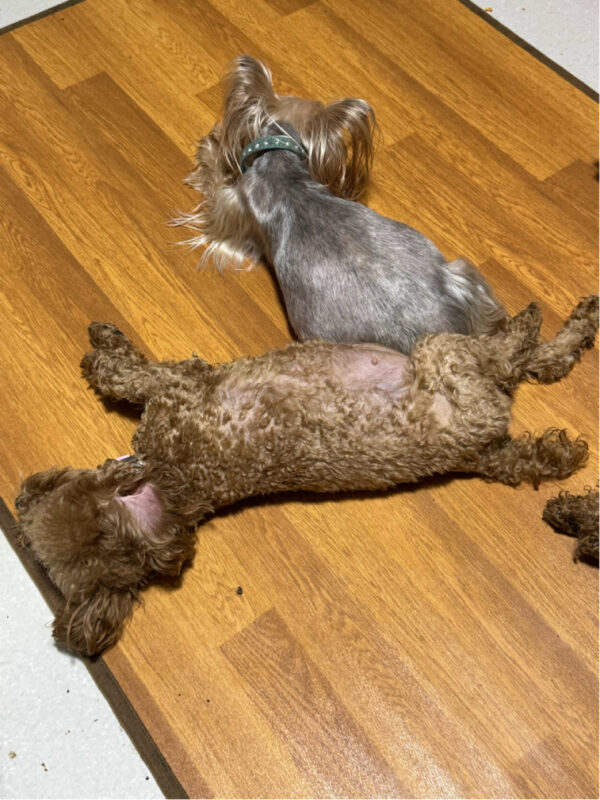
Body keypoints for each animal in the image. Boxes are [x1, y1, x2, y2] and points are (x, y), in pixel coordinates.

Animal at [15, 296, 597, 656]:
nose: (21, 500)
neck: (173, 484)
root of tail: (479, 453)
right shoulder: (181, 387)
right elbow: (131, 375)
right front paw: (104, 356)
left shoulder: (181, 382)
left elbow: (128, 376)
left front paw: (102, 348)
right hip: (448, 361)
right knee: (514, 359)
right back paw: (540, 330)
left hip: (448, 359)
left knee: (527, 362)